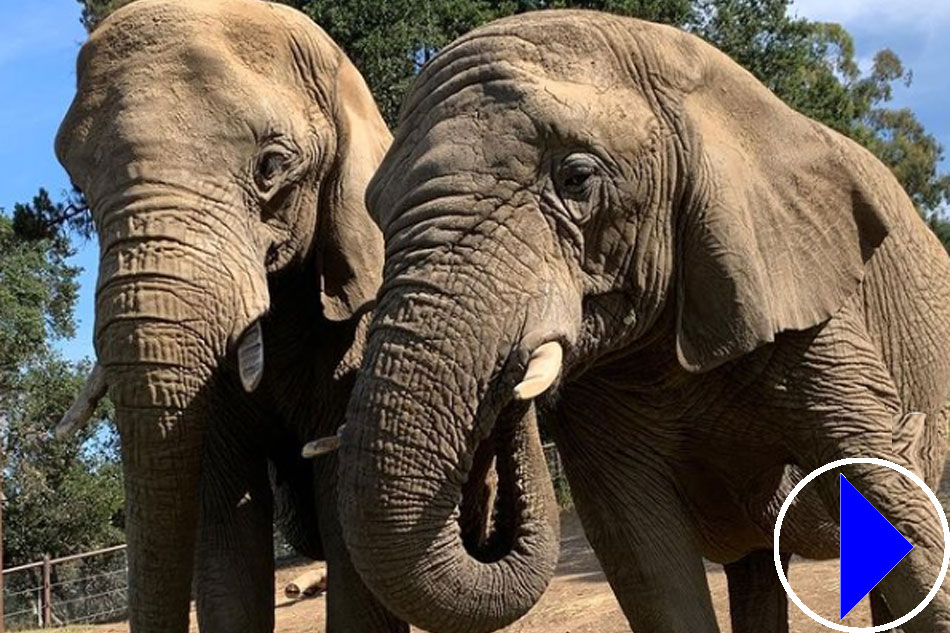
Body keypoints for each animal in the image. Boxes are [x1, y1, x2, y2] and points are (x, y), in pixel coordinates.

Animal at [338, 8, 950, 632]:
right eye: (375, 213)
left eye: (577, 178)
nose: (510, 377)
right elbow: (644, 558)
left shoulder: (804, 295)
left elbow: (897, 513)